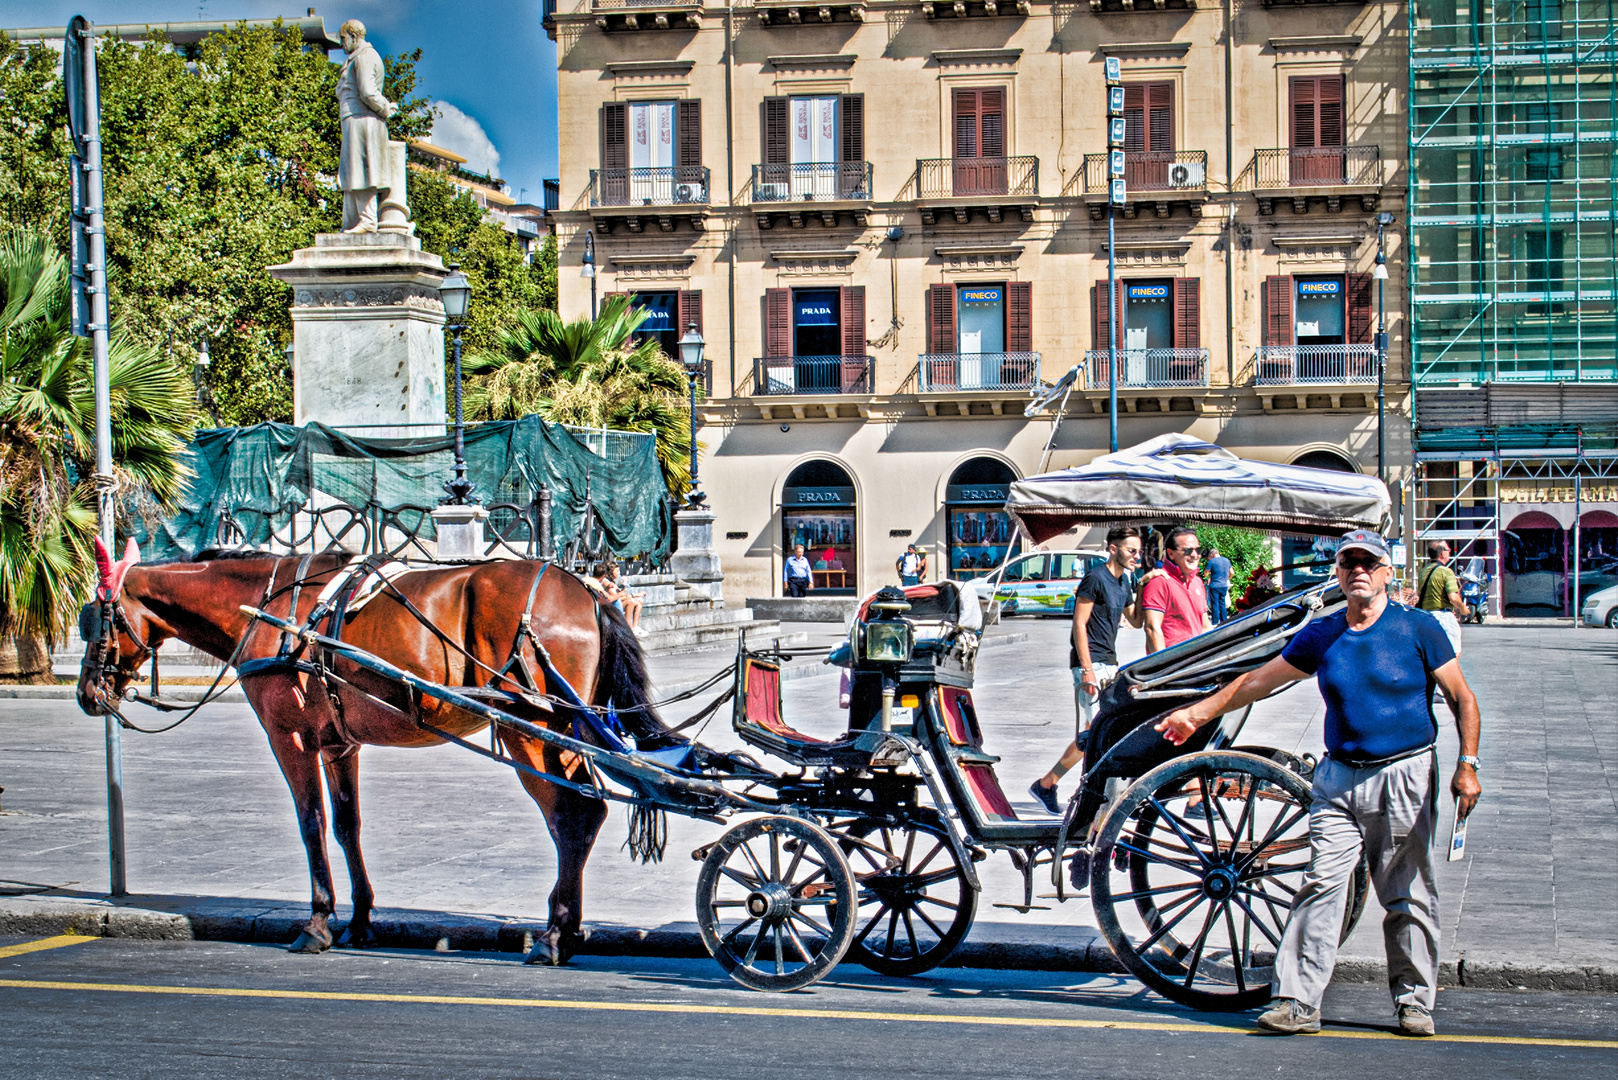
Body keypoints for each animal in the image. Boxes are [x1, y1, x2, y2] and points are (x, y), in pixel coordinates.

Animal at [74, 544, 669, 958]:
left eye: (92, 619)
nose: (86, 693)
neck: (266, 609)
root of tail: (591, 592)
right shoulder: (339, 742)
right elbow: (346, 824)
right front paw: (360, 921)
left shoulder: (289, 736)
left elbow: (311, 823)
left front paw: (317, 924)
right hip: (568, 727)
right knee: (587, 811)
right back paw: (567, 929)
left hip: (532, 728)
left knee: (573, 815)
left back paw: (553, 935)